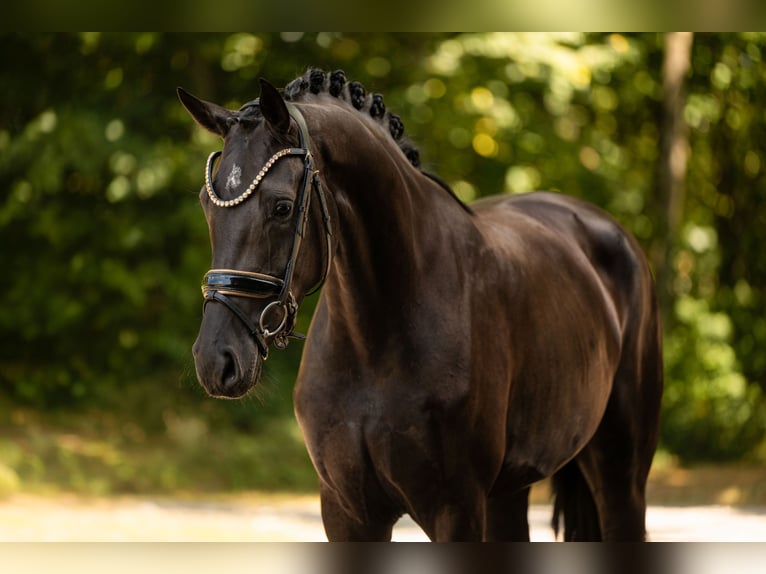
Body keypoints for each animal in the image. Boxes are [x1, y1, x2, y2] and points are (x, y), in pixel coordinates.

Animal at [179, 69, 663, 541]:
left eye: (281, 207)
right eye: (206, 204)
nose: (216, 361)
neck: (377, 340)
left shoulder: (456, 510)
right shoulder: (347, 513)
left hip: (620, 474)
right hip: (509, 492)